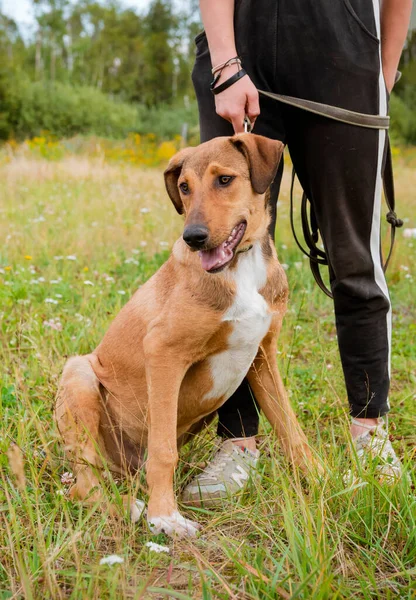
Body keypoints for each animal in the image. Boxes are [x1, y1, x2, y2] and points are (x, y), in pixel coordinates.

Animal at [55, 134, 316, 536]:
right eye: (184, 187)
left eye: (225, 180)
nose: (193, 238)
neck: (240, 267)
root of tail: (124, 471)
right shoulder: (163, 352)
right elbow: (164, 451)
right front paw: (165, 517)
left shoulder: (262, 356)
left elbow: (292, 431)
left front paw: (332, 480)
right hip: (79, 374)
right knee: (85, 486)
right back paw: (131, 507)